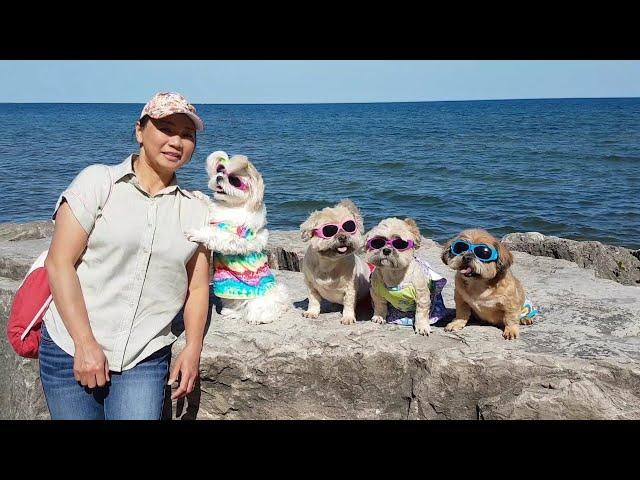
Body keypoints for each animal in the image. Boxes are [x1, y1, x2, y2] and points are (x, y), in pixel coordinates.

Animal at [185, 151, 290, 322]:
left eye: (235, 181)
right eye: (220, 171)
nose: (219, 177)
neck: (231, 206)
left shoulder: (233, 238)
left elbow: (215, 235)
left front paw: (196, 233)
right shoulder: (215, 213)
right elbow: (210, 204)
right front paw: (198, 195)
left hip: (260, 299)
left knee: (257, 309)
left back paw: (258, 318)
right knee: (238, 305)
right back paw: (231, 312)